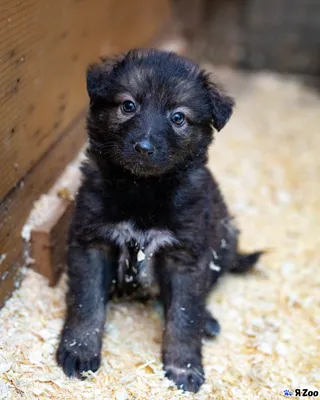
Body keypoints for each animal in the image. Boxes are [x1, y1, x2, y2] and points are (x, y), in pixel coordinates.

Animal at [57, 48, 262, 392]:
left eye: (178, 117)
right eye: (128, 105)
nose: (144, 147)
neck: (143, 190)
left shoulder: (185, 258)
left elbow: (183, 315)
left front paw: (183, 366)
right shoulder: (92, 242)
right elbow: (86, 303)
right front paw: (79, 349)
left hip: (225, 237)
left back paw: (207, 320)